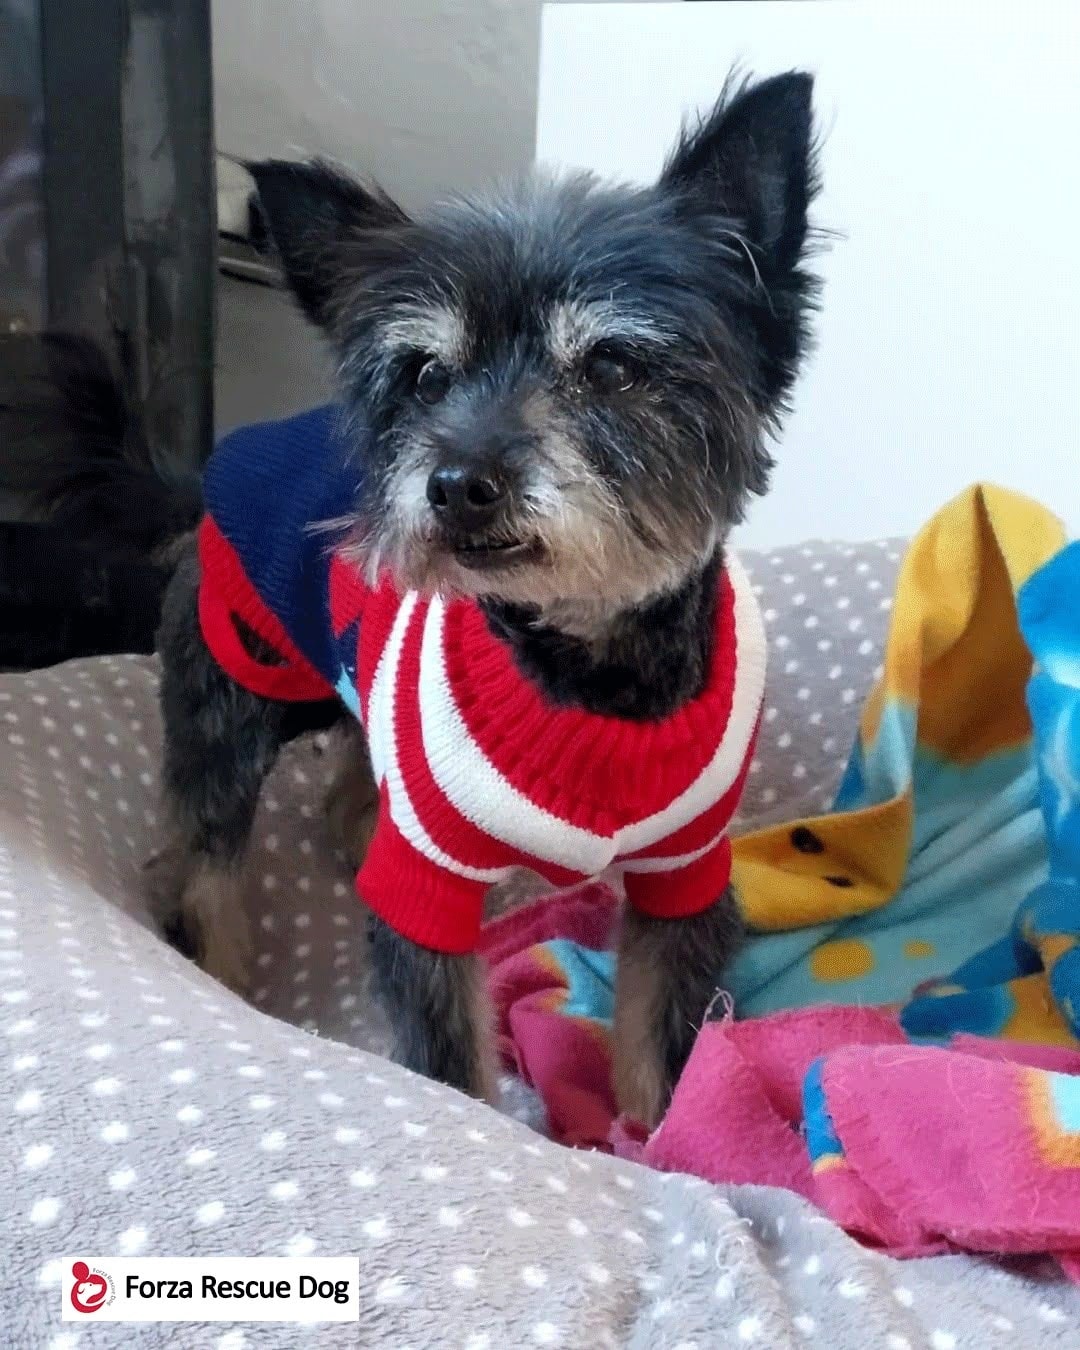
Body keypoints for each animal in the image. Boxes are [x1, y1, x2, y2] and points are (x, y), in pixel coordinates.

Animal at [10, 71, 820, 1126]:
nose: (458, 482)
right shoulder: (426, 886)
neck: (583, 670)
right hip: (227, 696)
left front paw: (658, 1132)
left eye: (611, 365)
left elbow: (665, 1051)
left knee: (342, 781)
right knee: (201, 853)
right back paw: (216, 955)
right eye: (426, 375)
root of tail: (212, 470)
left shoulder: (683, 876)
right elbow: (450, 1062)